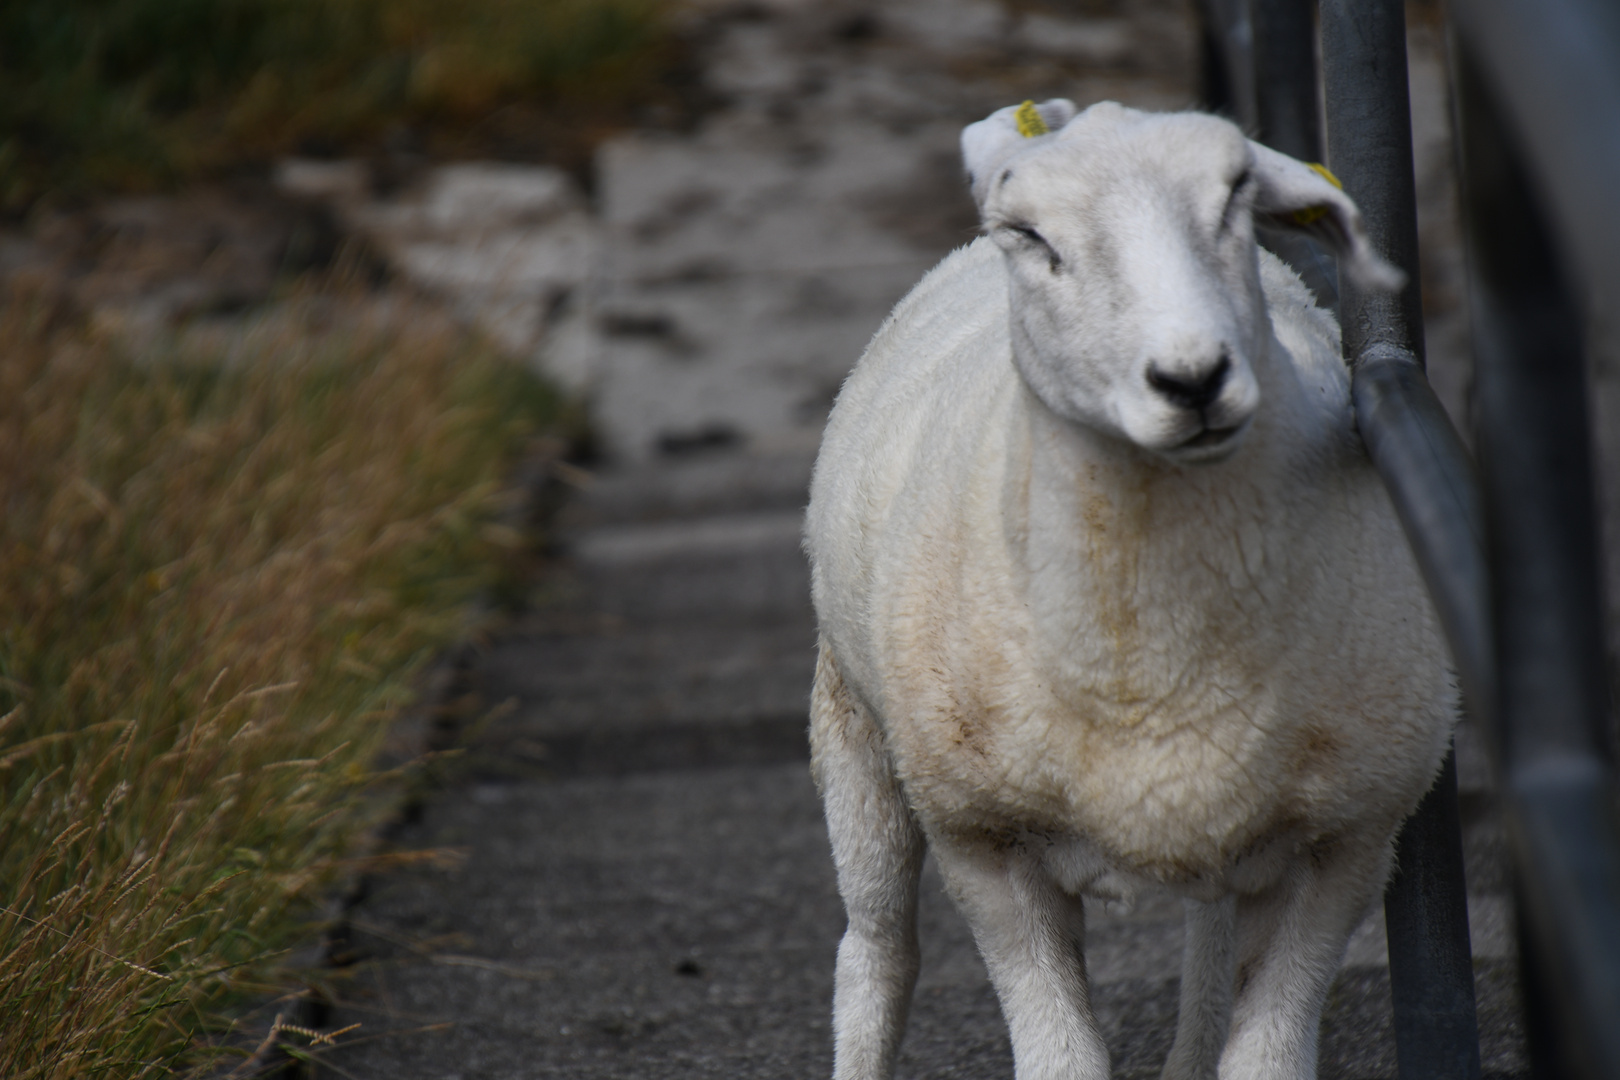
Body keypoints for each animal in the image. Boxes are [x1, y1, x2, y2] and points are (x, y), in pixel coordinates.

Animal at [803, 97, 1451, 1075]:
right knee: (877, 953)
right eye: (1029, 235)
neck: (1152, 666)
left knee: (1208, 947)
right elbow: (1059, 1058)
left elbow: (1264, 1055)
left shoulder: (1347, 838)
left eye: (1235, 197)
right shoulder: (983, 843)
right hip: (853, 727)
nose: (1193, 379)